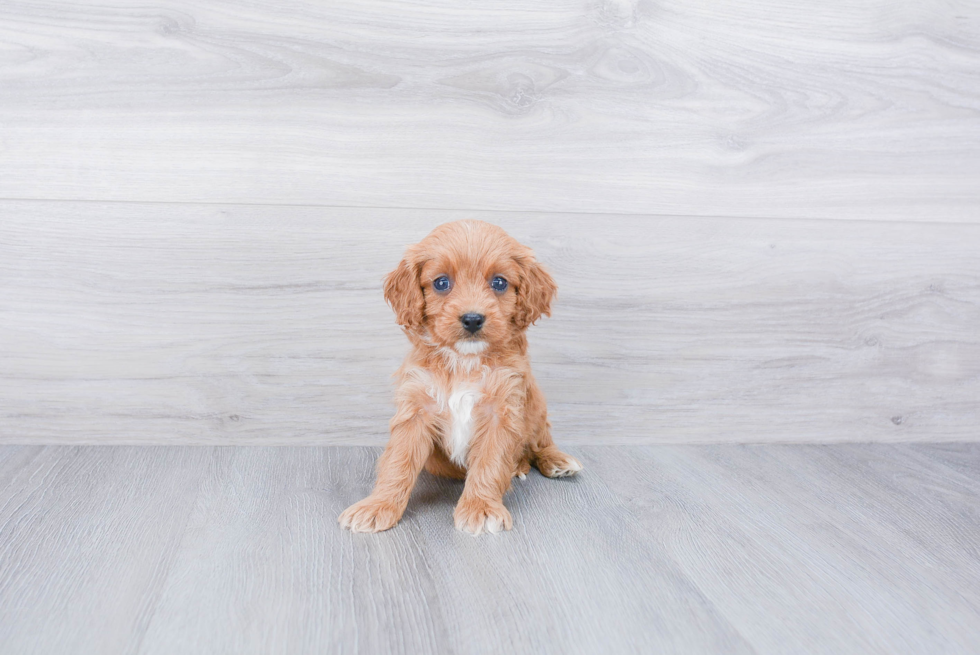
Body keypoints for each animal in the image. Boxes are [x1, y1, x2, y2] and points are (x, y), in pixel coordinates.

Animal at [338, 222, 580, 540]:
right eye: (441, 283)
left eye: (499, 283)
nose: (473, 319)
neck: (464, 361)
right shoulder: (415, 409)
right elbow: (398, 462)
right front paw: (378, 506)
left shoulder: (502, 409)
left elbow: (490, 462)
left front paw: (481, 508)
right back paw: (519, 466)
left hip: (536, 405)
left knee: (540, 442)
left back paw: (557, 460)